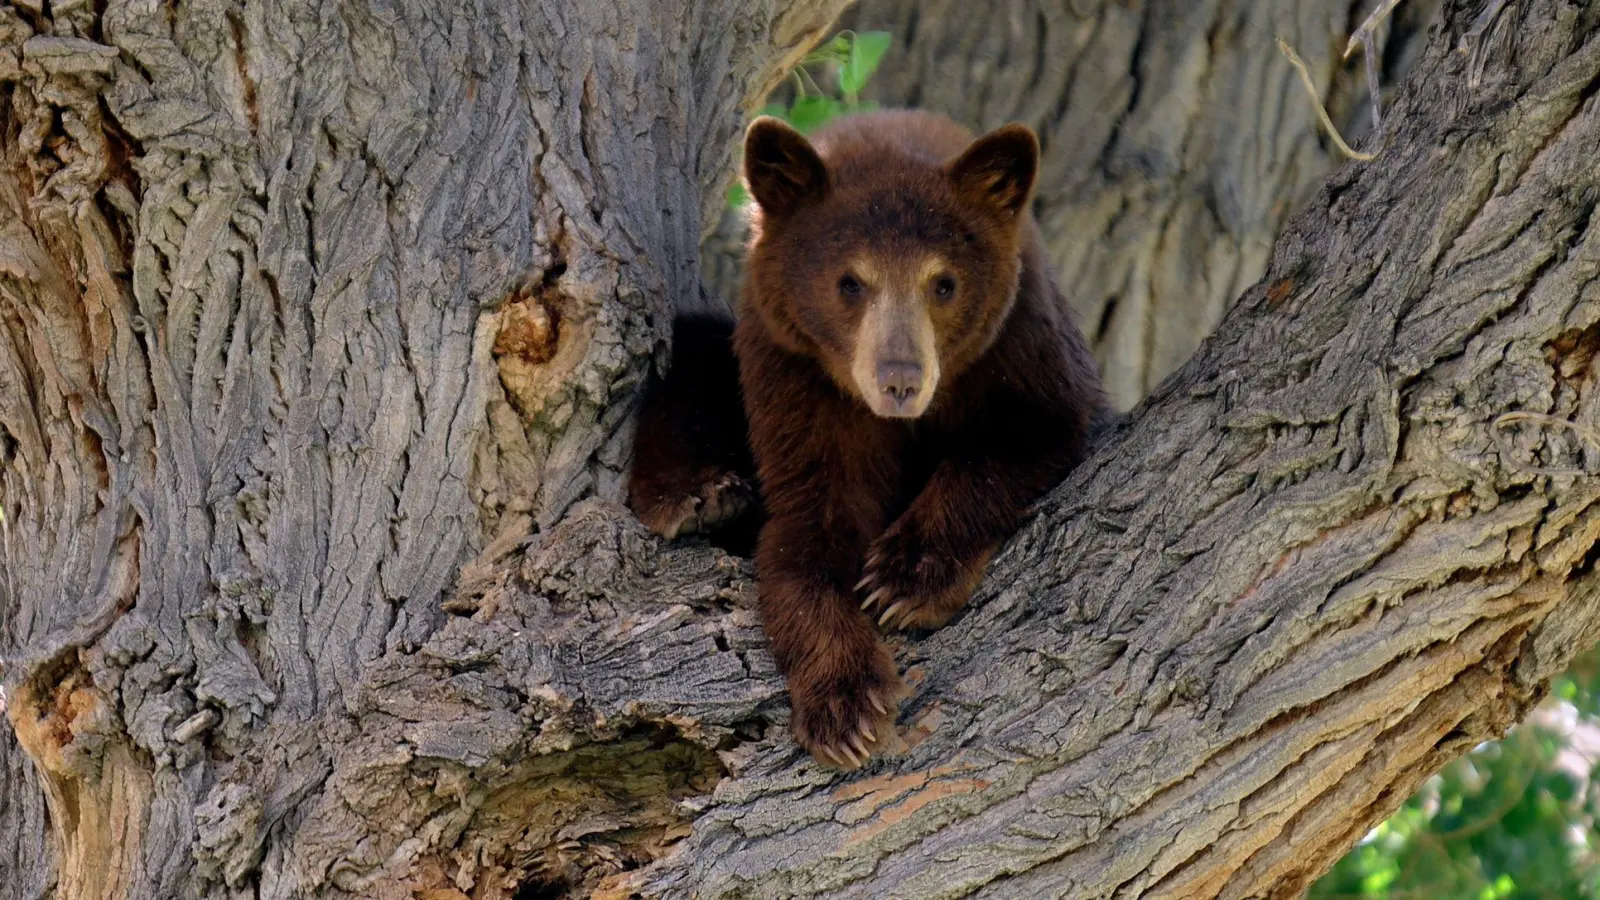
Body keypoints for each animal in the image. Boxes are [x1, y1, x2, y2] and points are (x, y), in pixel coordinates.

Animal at [628, 108, 1106, 768]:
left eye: (943, 283)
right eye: (850, 283)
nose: (899, 380)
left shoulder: (1025, 347)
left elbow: (1029, 438)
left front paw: (905, 578)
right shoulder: (797, 381)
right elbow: (809, 530)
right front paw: (846, 706)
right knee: (694, 344)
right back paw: (697, 496)